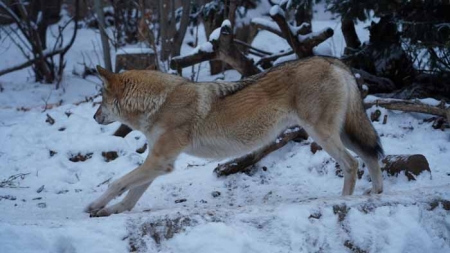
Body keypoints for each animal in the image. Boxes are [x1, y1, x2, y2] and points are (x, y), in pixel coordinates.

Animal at [87, 57, 384, 217]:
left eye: (100, 100)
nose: (93, 117)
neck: (158, 103)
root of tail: (333, 61)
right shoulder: (160, 163)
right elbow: (131, 195)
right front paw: (112, 211)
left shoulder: (159, 161)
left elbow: (117, 183)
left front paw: (93, 205)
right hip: (341, 133)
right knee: (370, 156)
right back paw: (376, 194)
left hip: (323, 135)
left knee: (352, 163)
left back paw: (343, 201)